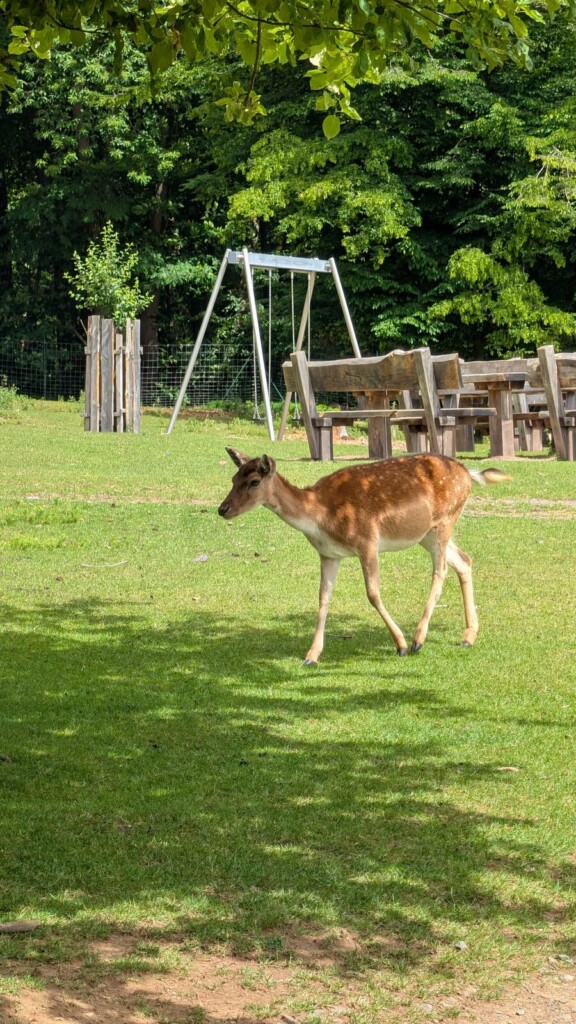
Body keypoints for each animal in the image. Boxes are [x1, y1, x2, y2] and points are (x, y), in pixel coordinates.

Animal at [218, 449, 510, 663]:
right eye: (232, 479)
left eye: (254, 481)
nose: (223, 509)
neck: (321, 517)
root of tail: (469, 473)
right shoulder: (328, 554)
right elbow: (323, 598)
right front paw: (311, 655)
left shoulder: (367, 541)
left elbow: (372, 593)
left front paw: (401, 645)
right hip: (425, 534)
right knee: (464, 560)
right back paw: (468, 636)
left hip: (445, 521)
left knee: (441, 571)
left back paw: (418, 640)